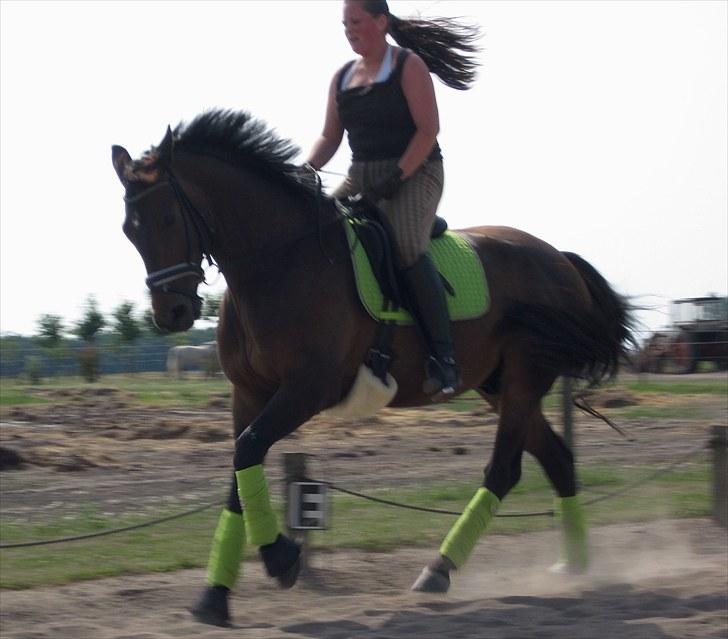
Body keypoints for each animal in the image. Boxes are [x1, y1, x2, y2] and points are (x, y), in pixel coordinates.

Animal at [111, 109, 636, 624]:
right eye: (129, 230)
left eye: (167, 217)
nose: (171, 313)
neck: (281, 259)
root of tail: (558, 258)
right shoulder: (250, 392)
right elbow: (241, 467)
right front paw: (215, 595)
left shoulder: (308, 388)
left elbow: (249, 450)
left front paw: (281, 558)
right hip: (499, 385)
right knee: (558, 460)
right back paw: (573, 565)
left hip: (525, 378)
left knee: (504, 471)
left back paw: (439, 570)